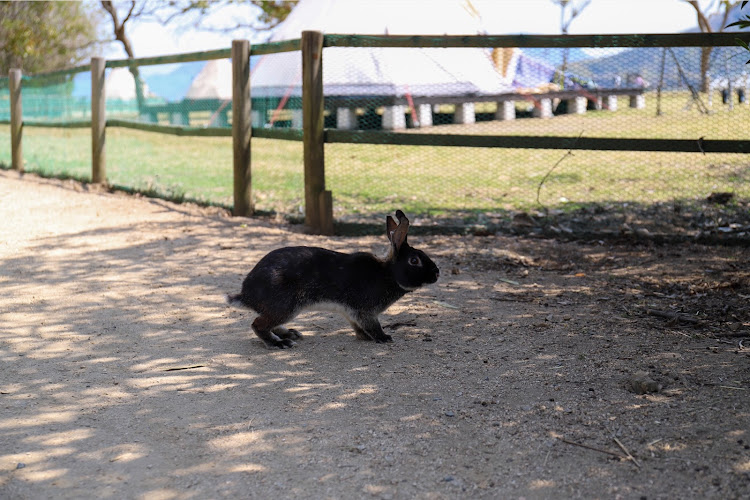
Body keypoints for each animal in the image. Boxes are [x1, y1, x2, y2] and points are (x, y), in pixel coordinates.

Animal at [229, 210, 440, 348]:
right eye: (414, 261)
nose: (437, 273)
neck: (387, 273)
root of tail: (246, 295)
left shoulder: (351, 312)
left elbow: (358, 327)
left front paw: (364, 337)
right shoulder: (365, 311)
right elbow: (373, 326)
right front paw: (384, 338)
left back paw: (290, 333)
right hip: (286, 306)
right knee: (258, 324)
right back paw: (279, 343)